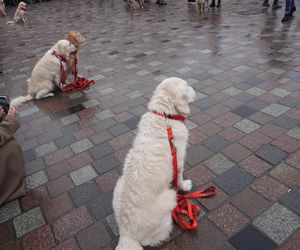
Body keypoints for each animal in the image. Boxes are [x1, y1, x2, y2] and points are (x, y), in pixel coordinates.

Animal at [113, 77, 197, 249]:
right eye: (186, 88)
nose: (194, 87)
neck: (166, 116)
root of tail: (126, 234)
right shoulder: (178, 160)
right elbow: (180, 177)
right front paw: (185, 186)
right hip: (170, 197)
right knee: (151, 239)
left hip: (118, 185)